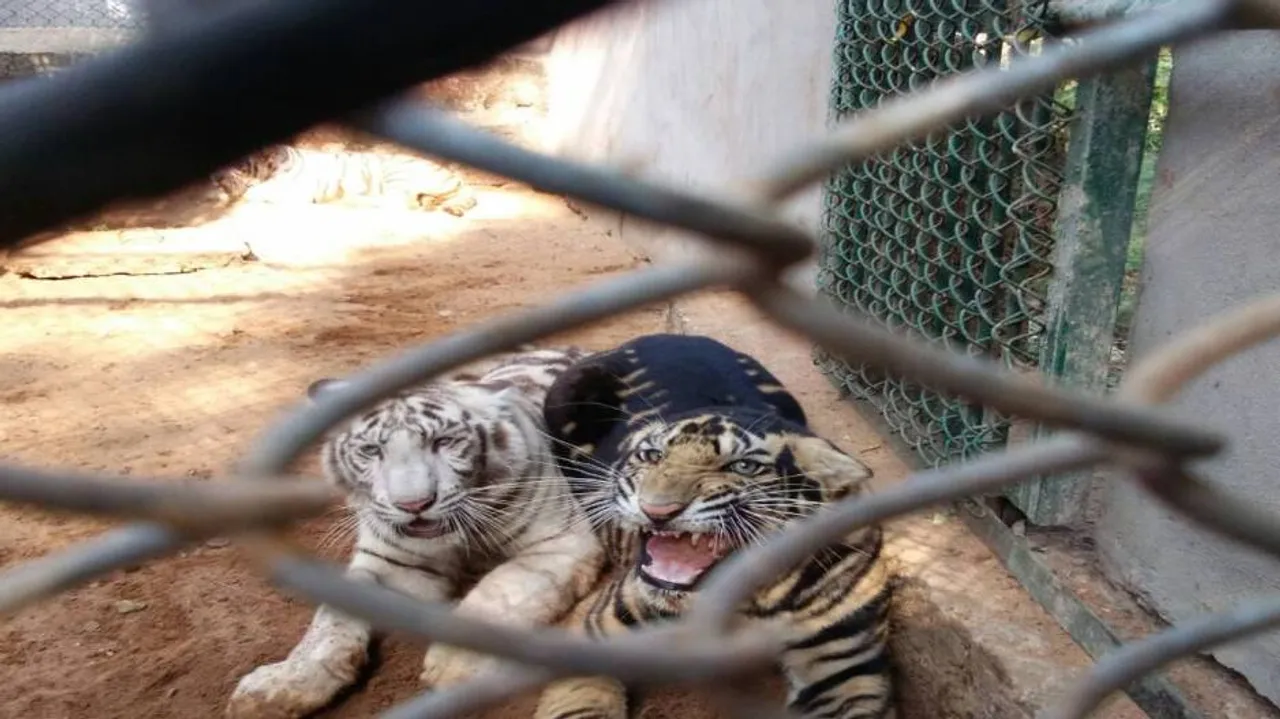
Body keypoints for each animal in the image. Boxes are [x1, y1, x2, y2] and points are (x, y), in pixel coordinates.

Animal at [211, 142, 479, 216]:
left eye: (238, 161)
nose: (215, 176)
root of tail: (453, 175)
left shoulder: (292, 191)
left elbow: (255, 191)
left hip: (395, 174)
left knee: (400, 202)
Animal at [226, 347, 605, 719]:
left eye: (444, 442)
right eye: (372, 450)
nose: (414, 504)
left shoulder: (560, 540)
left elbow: (497, 591)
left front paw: (453, 665)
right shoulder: (390, 564)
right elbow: (330, 622)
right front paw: (278, 688)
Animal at [533, 333, 896, 719]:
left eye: (743, 467)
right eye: (651, 456)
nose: (656, 509)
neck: (747, 600)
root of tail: (670, 337)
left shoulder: (847, 670)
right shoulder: (598, 627)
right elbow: (579, 706)